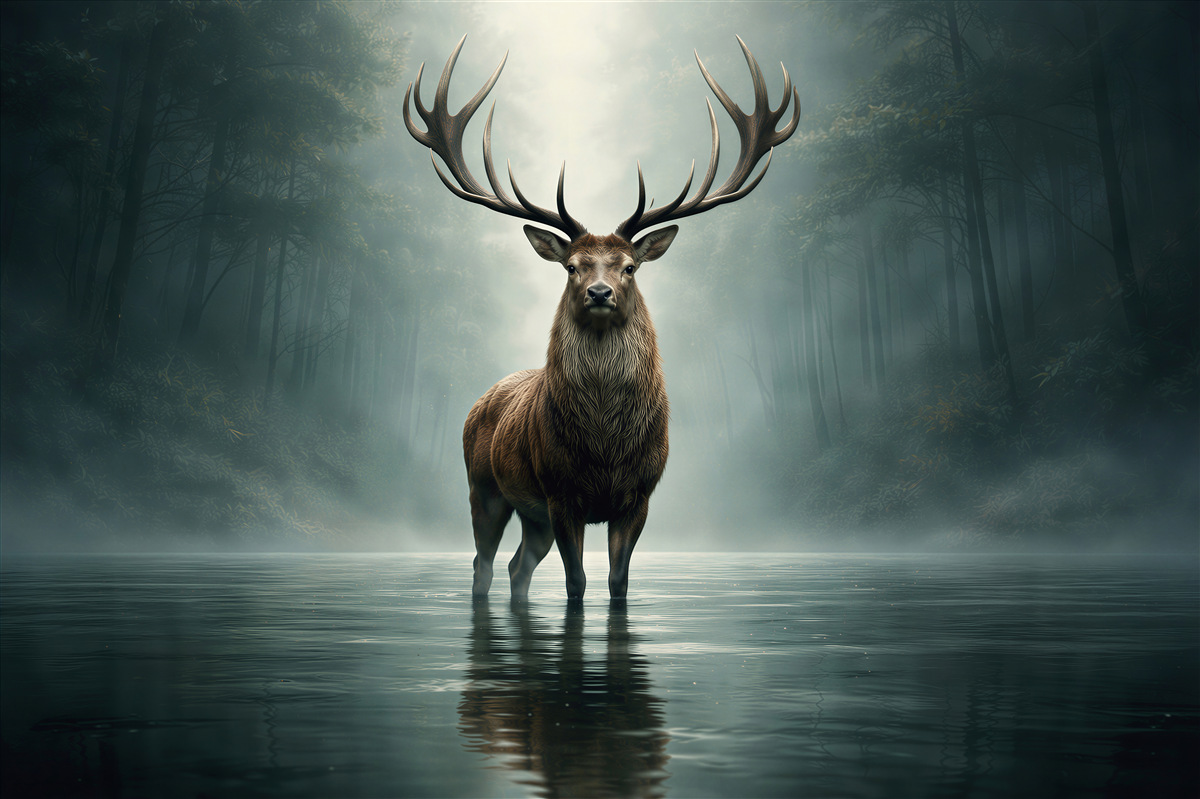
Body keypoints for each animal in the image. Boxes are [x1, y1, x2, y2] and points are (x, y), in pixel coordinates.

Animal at [403, 35, 799, 600]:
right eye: (571, 265)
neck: (605, 448)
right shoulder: (560, 492)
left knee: (517, 565)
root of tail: (481, 400)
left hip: (532, 516)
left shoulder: (639, 496)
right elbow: (577, 583)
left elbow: (617, 582)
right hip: (484, 487)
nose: (598, 292)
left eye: (629, 266)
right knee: (482, 562)